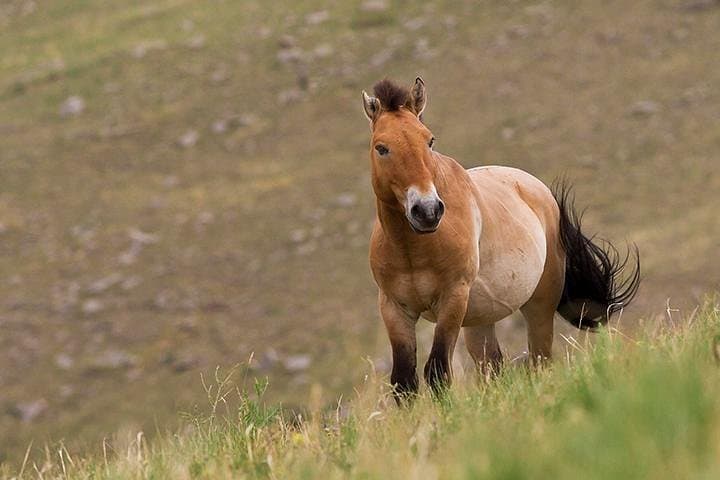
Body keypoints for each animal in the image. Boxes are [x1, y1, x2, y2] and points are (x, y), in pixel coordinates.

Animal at [362, 77, 640, 399]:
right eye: (381, 148)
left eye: (429, 141)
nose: (427, 210)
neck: (413, 250)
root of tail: (540, 191)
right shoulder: (395, 308)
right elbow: (404, 383)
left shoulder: (452, 298)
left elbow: (438, 372)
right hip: (479, 321)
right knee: (492, 367)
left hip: (538, 306)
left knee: (540, 360)